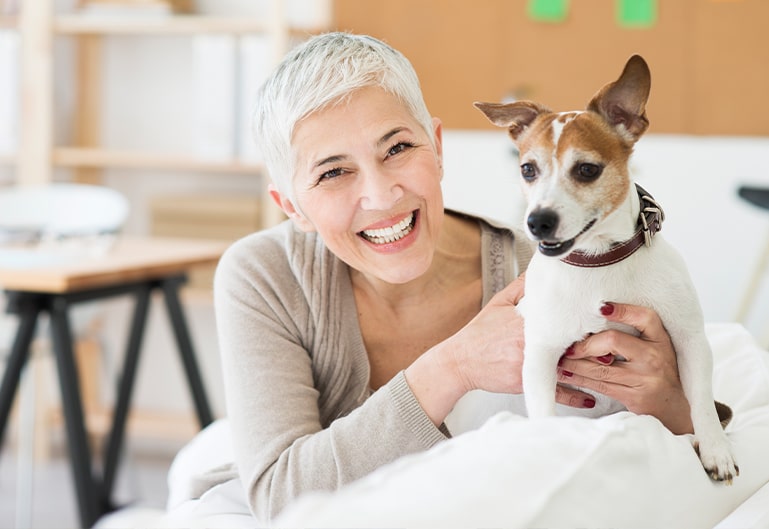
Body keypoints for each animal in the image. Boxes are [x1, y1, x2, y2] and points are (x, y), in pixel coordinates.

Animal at [474, 54, 736, 482]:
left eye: (586, 170)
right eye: (528, 169)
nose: (537, 221)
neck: (597, 262)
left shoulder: (690, 340)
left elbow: (700, 400)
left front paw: (715, 449)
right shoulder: (541, 355)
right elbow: (543, 415)